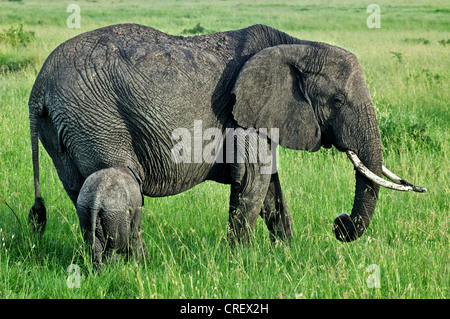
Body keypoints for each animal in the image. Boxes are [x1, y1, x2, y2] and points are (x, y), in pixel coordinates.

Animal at [29, 24, 426, 245]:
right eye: (338, 100)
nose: (339, 225)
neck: (295, 44)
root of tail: (38, 91)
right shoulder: (242, 113)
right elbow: (253, 180)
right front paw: (242, 260)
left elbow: (270, 188)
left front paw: (286, 255)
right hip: (94, 118)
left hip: (66, 129)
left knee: (79, 191)